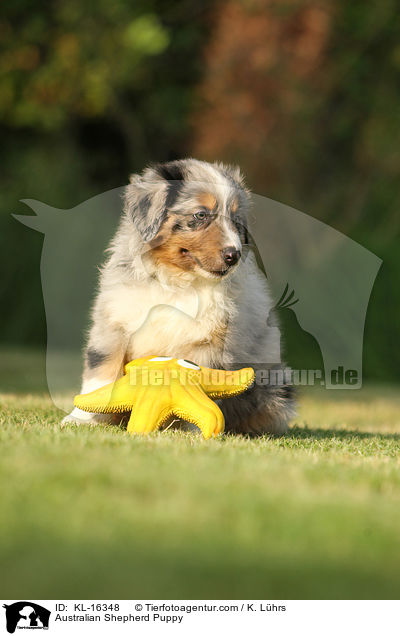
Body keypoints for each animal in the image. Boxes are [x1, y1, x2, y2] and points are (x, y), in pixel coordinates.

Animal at [63, 160, 294, 438]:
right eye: (201, 215)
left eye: (236, 221)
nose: (234, 255)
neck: (177, 281)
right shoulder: (114, 322)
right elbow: (100, 375)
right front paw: (82, 419)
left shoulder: (209, 341)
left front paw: (192, 428)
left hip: (277, 385)